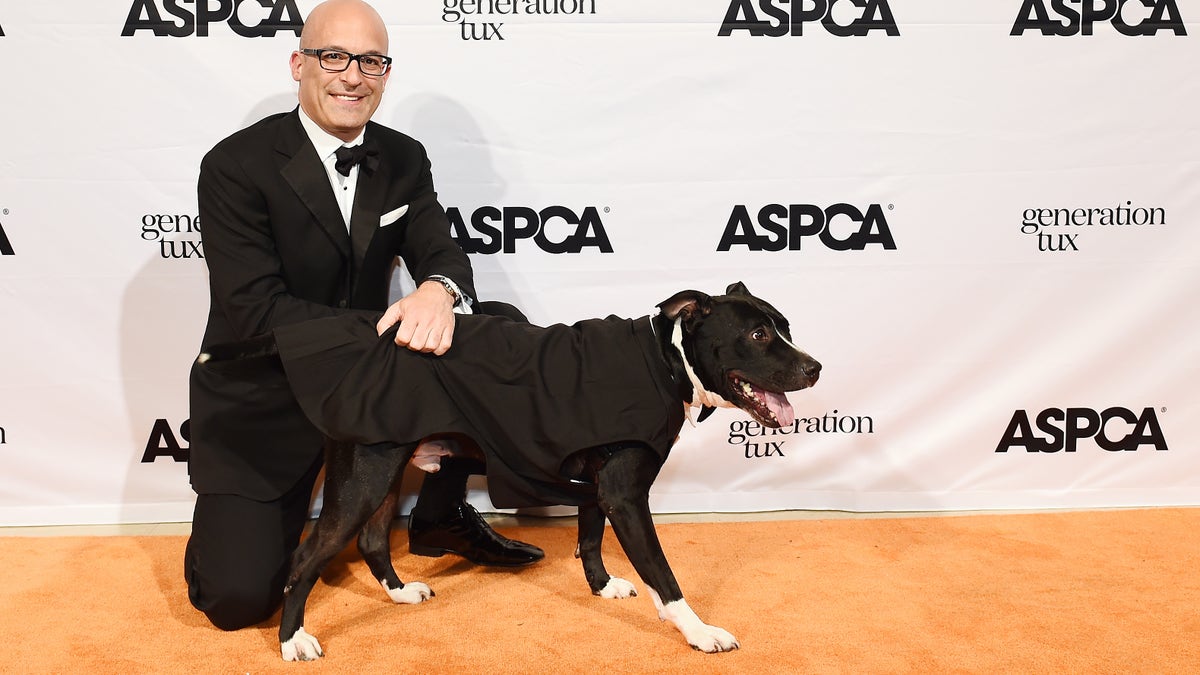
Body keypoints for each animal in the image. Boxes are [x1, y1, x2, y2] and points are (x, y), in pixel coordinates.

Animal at [201, 279, 820, 658]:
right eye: (758, 334)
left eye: (787, 325)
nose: (815, 367)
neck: (664, 361)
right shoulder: (625, 496)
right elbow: (664, 579)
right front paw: (698, 632)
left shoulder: (598, 487)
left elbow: (589, 538)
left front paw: (600, 587)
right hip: (363, 478)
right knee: (306, 558)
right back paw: (292, 641)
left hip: (382, 467)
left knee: (374, 540)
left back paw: (399, 595)